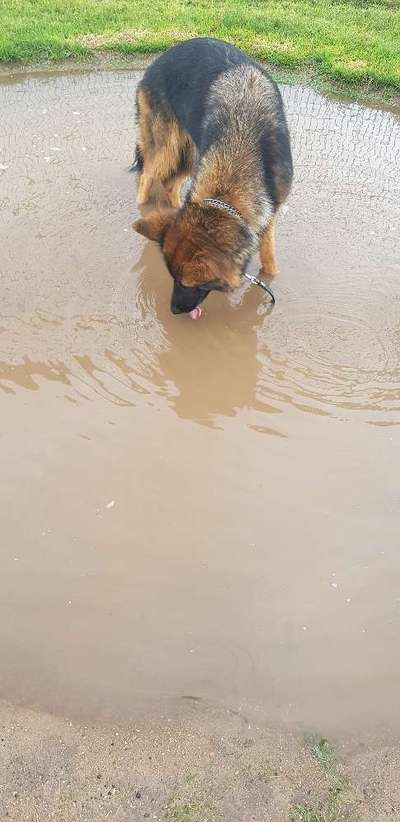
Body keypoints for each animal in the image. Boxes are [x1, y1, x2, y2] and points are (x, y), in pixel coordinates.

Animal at [133, 37, 292, 316]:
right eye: (172, 278)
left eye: (186, 284)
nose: (173, 311)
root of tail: (160, 59)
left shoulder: (270, 212)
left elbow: (269, 258)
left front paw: (271, 278)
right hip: (168, 148)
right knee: (147, 176)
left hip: (188, 154)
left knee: (171, 185)